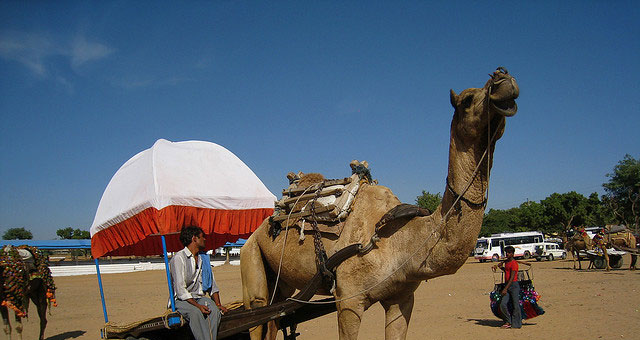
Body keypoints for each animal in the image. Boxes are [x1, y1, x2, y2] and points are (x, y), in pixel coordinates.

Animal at [240, 67, 520, 340]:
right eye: (467, 100)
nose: (502, 77)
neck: (400, 238)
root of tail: (259, 230)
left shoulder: (402, 298)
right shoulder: (349, 300)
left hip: (280, 282)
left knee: (274, 322)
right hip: (251, 257)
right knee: (257, 316)